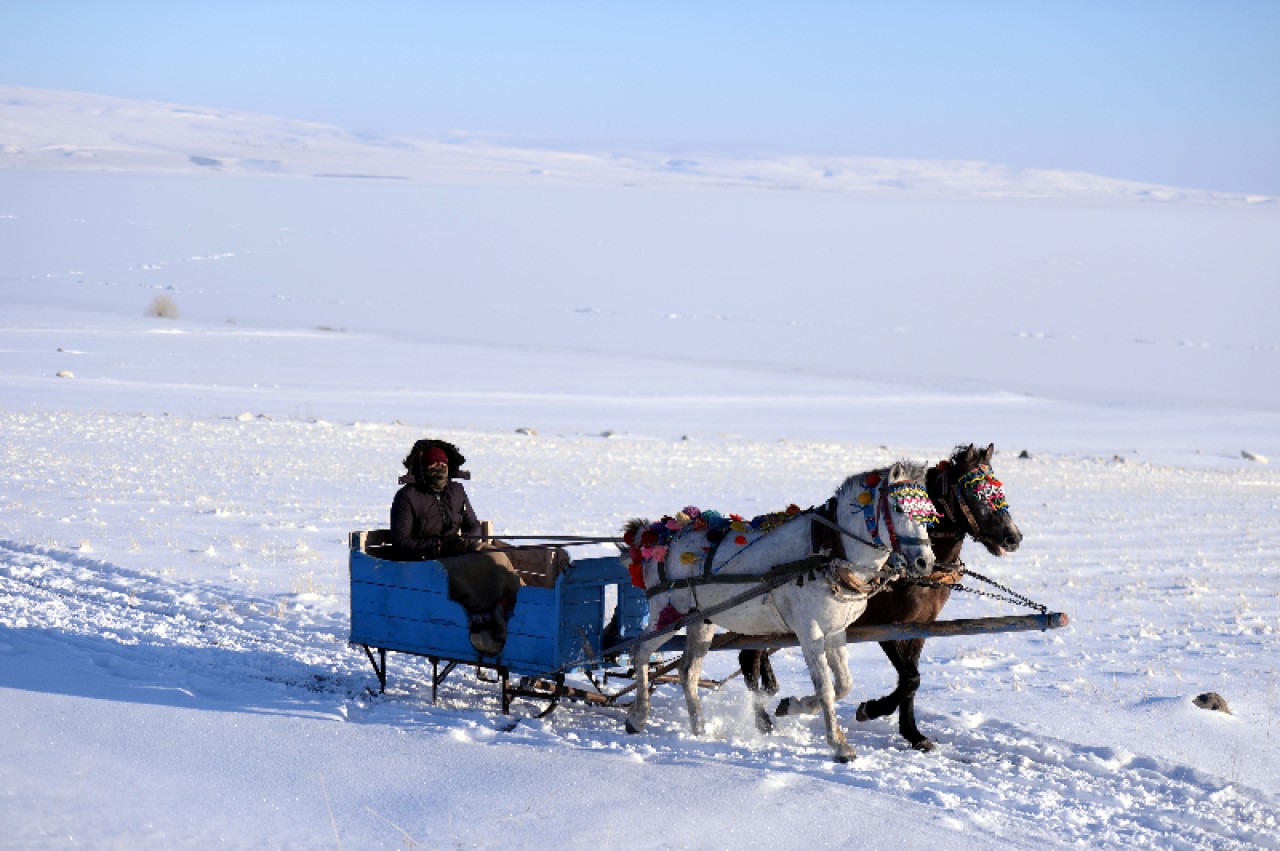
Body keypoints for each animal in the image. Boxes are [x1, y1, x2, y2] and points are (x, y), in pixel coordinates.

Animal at [622, 460, 936, 757]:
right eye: (898, 507)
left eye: (929, 515)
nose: (925, 562)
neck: (829, 551)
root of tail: (657, 539)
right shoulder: (809, 632)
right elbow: (826, 688)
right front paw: (839, 746)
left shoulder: (836, 632)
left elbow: (843, 685)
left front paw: (793, 705)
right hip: (667, 616)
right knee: (640, 653)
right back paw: (638, 718)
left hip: (701, 622)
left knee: (687, 672)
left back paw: (700, 729)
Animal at [742, 445, 1018, 752]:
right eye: (973, 492)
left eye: (998, 490)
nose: (1013, 537)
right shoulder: (886, 629)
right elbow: (910, 678)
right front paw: (871, 709)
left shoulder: (918, 629)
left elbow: (910, 681)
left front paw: (913, 733)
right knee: (749, 656)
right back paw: (765, 718)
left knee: (751, 655)